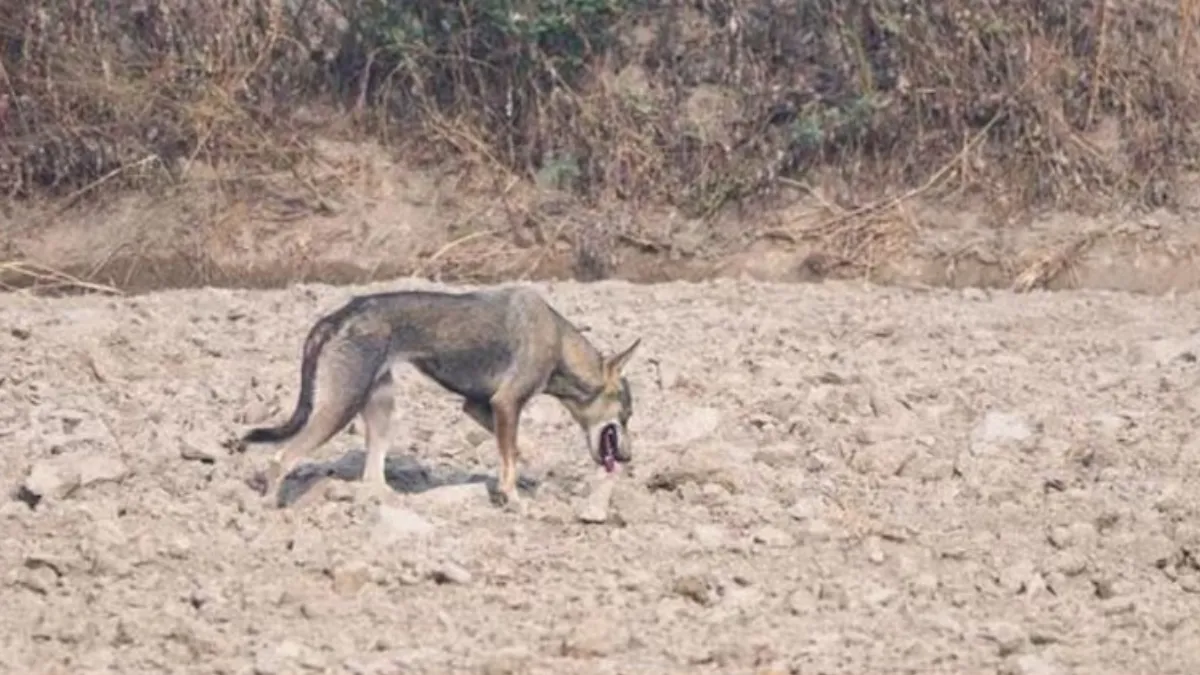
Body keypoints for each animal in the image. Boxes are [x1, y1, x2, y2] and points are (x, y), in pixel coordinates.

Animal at [239, 285, 641, 509]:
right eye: (626, 415)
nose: (628, 457)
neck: (559, 342)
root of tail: (336, 317)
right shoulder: (506, 404)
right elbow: (510, 459)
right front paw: (513, 499)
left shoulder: (481, 407)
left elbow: (517, 449)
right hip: (340, 406)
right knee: (281, 458)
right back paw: (269, 506)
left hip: (381, 404)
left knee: (372, 476)